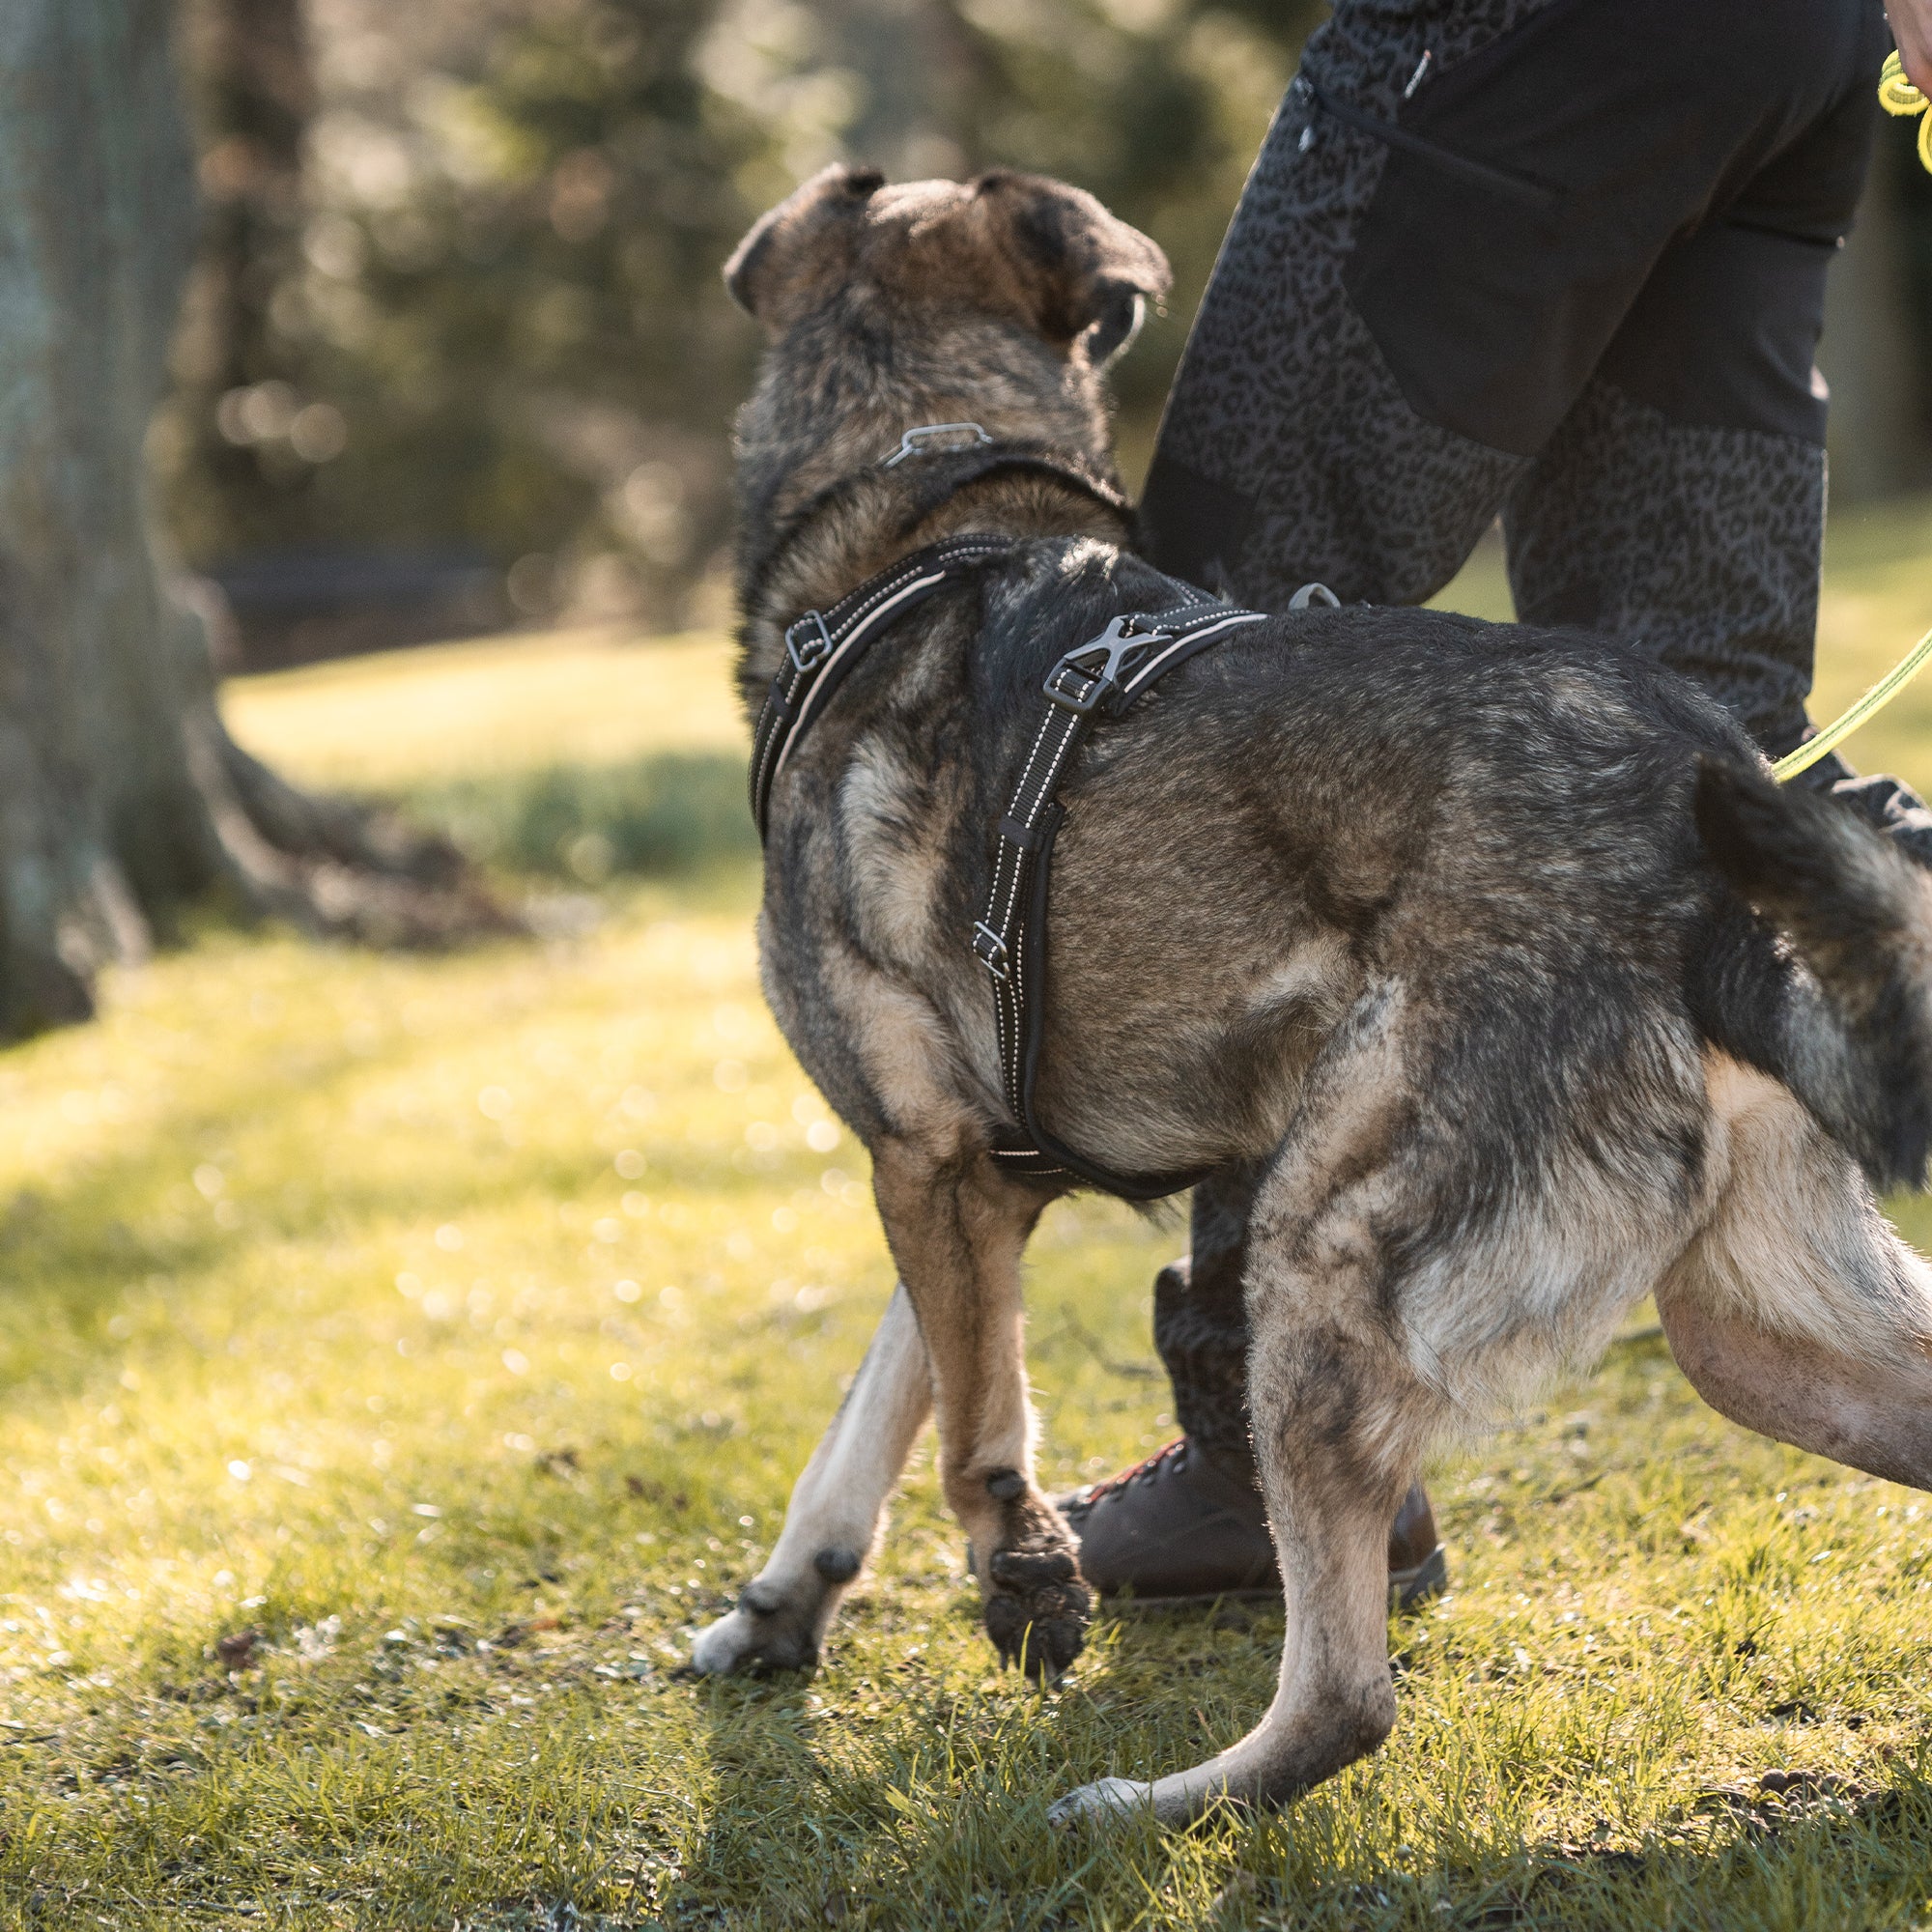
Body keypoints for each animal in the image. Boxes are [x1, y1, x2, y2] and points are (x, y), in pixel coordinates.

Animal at [696, 166, 1932, 1824]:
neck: (928, 499)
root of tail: (1698, 860)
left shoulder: (936, 1161)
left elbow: (969, 1424)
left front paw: (1022, 1578)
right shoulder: (955, 1167)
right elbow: (888, 1393)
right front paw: (785, 1600)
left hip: (1323, 1265)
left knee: (1349, 1697)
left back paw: (1156, 1805)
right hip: (1760, 1336)